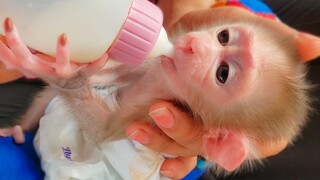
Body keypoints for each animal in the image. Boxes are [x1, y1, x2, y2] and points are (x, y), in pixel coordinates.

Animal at [0, 7, 318, 174]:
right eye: (224, 36)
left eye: (223, 74)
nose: (192, 45)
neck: (167, 82)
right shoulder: (156, 65)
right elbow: (116, 71)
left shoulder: (150, 112)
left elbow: (103, 129)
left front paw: (66, 73)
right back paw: (18, 129)